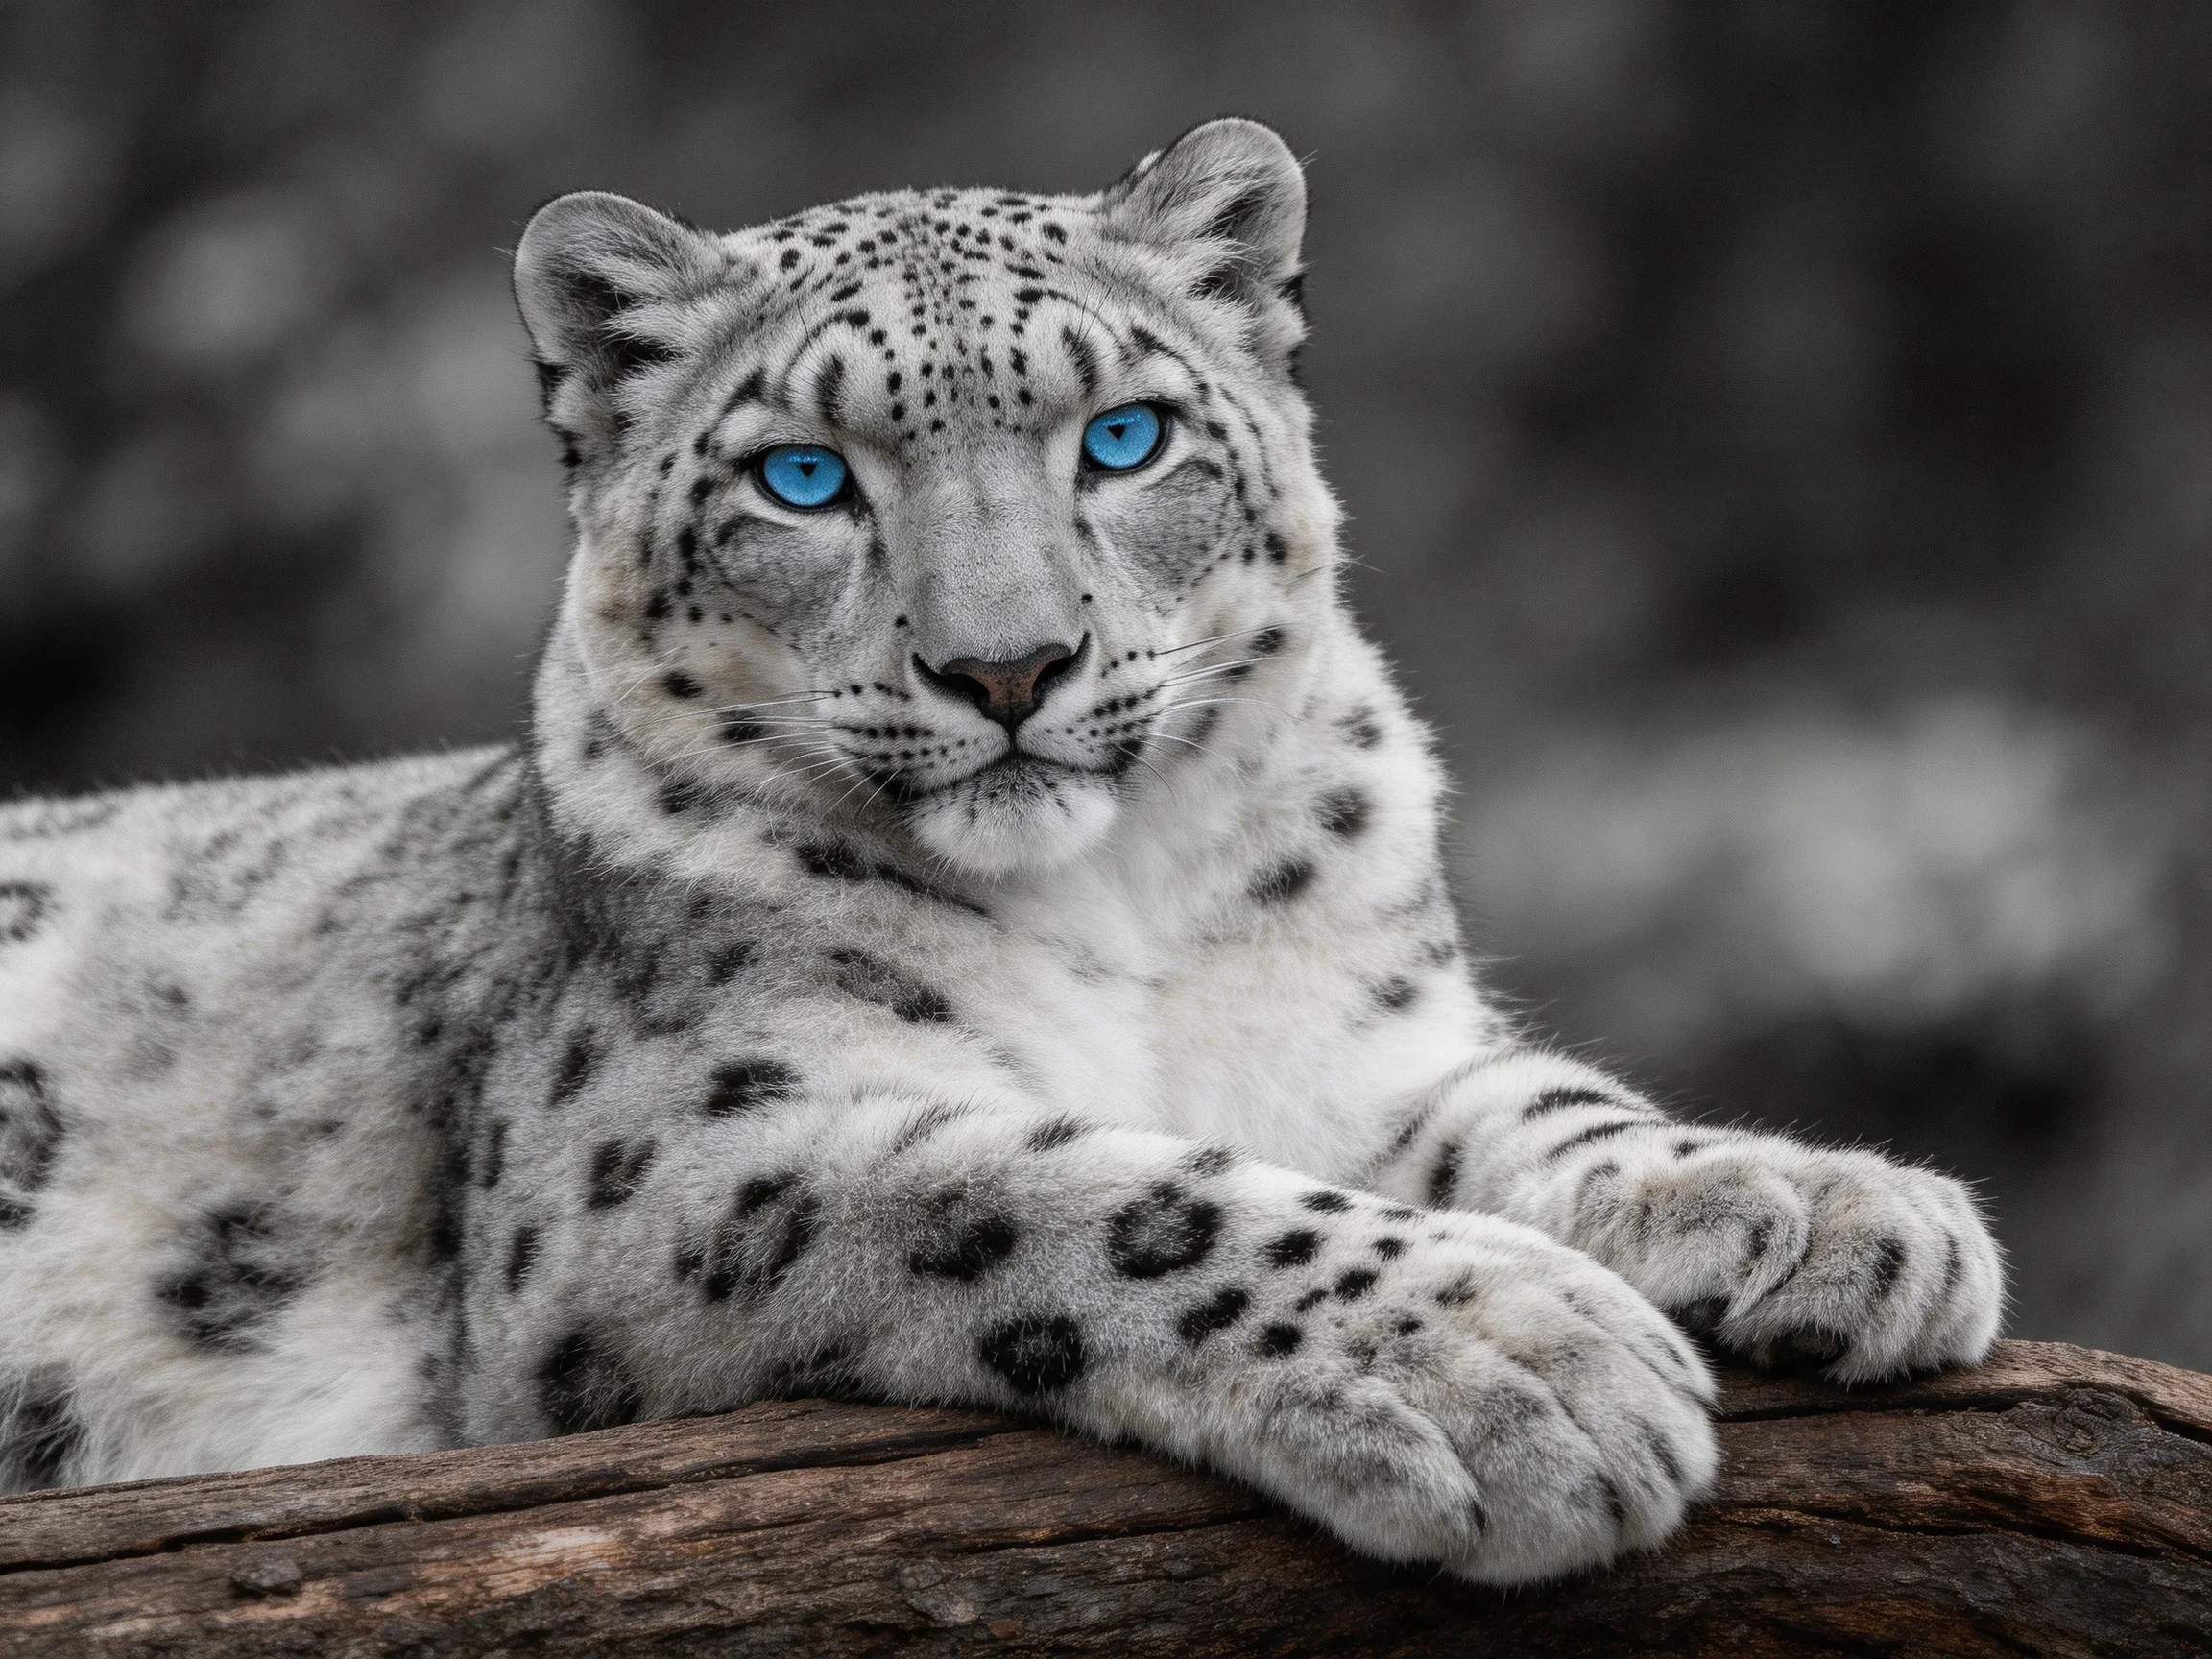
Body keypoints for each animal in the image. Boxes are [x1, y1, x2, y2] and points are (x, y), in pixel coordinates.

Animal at [0, 119, 2002, 1586]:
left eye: (1122, 436)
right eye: (802, 476)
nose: (1007, 665)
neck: (1122, 909)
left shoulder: (1354, 1050)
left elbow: (1534, 1103)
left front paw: (1822, 1205)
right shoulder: (676, 1165)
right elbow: (1084, 1190)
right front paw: (1517, 1365)